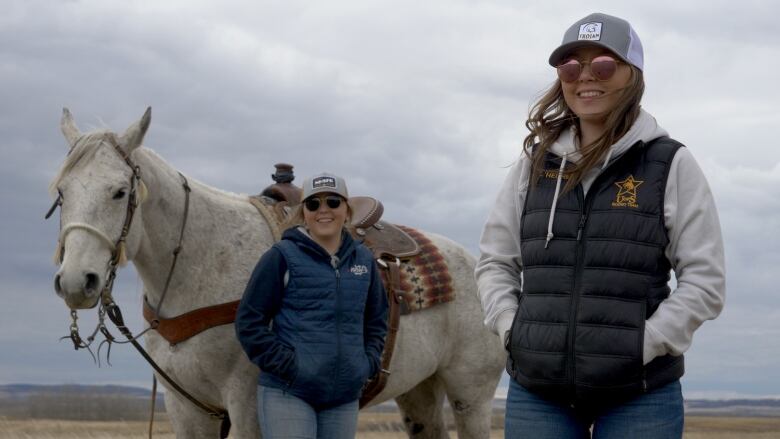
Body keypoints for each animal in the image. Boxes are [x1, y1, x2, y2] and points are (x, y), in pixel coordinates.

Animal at [50, 107, 506, 439]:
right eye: (61, 193)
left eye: (119, 192)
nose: (76, 281)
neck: (201, 267)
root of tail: (474, 264)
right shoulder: (187, 409)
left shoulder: (247, 406)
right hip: (418, 392)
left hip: (471, 397)